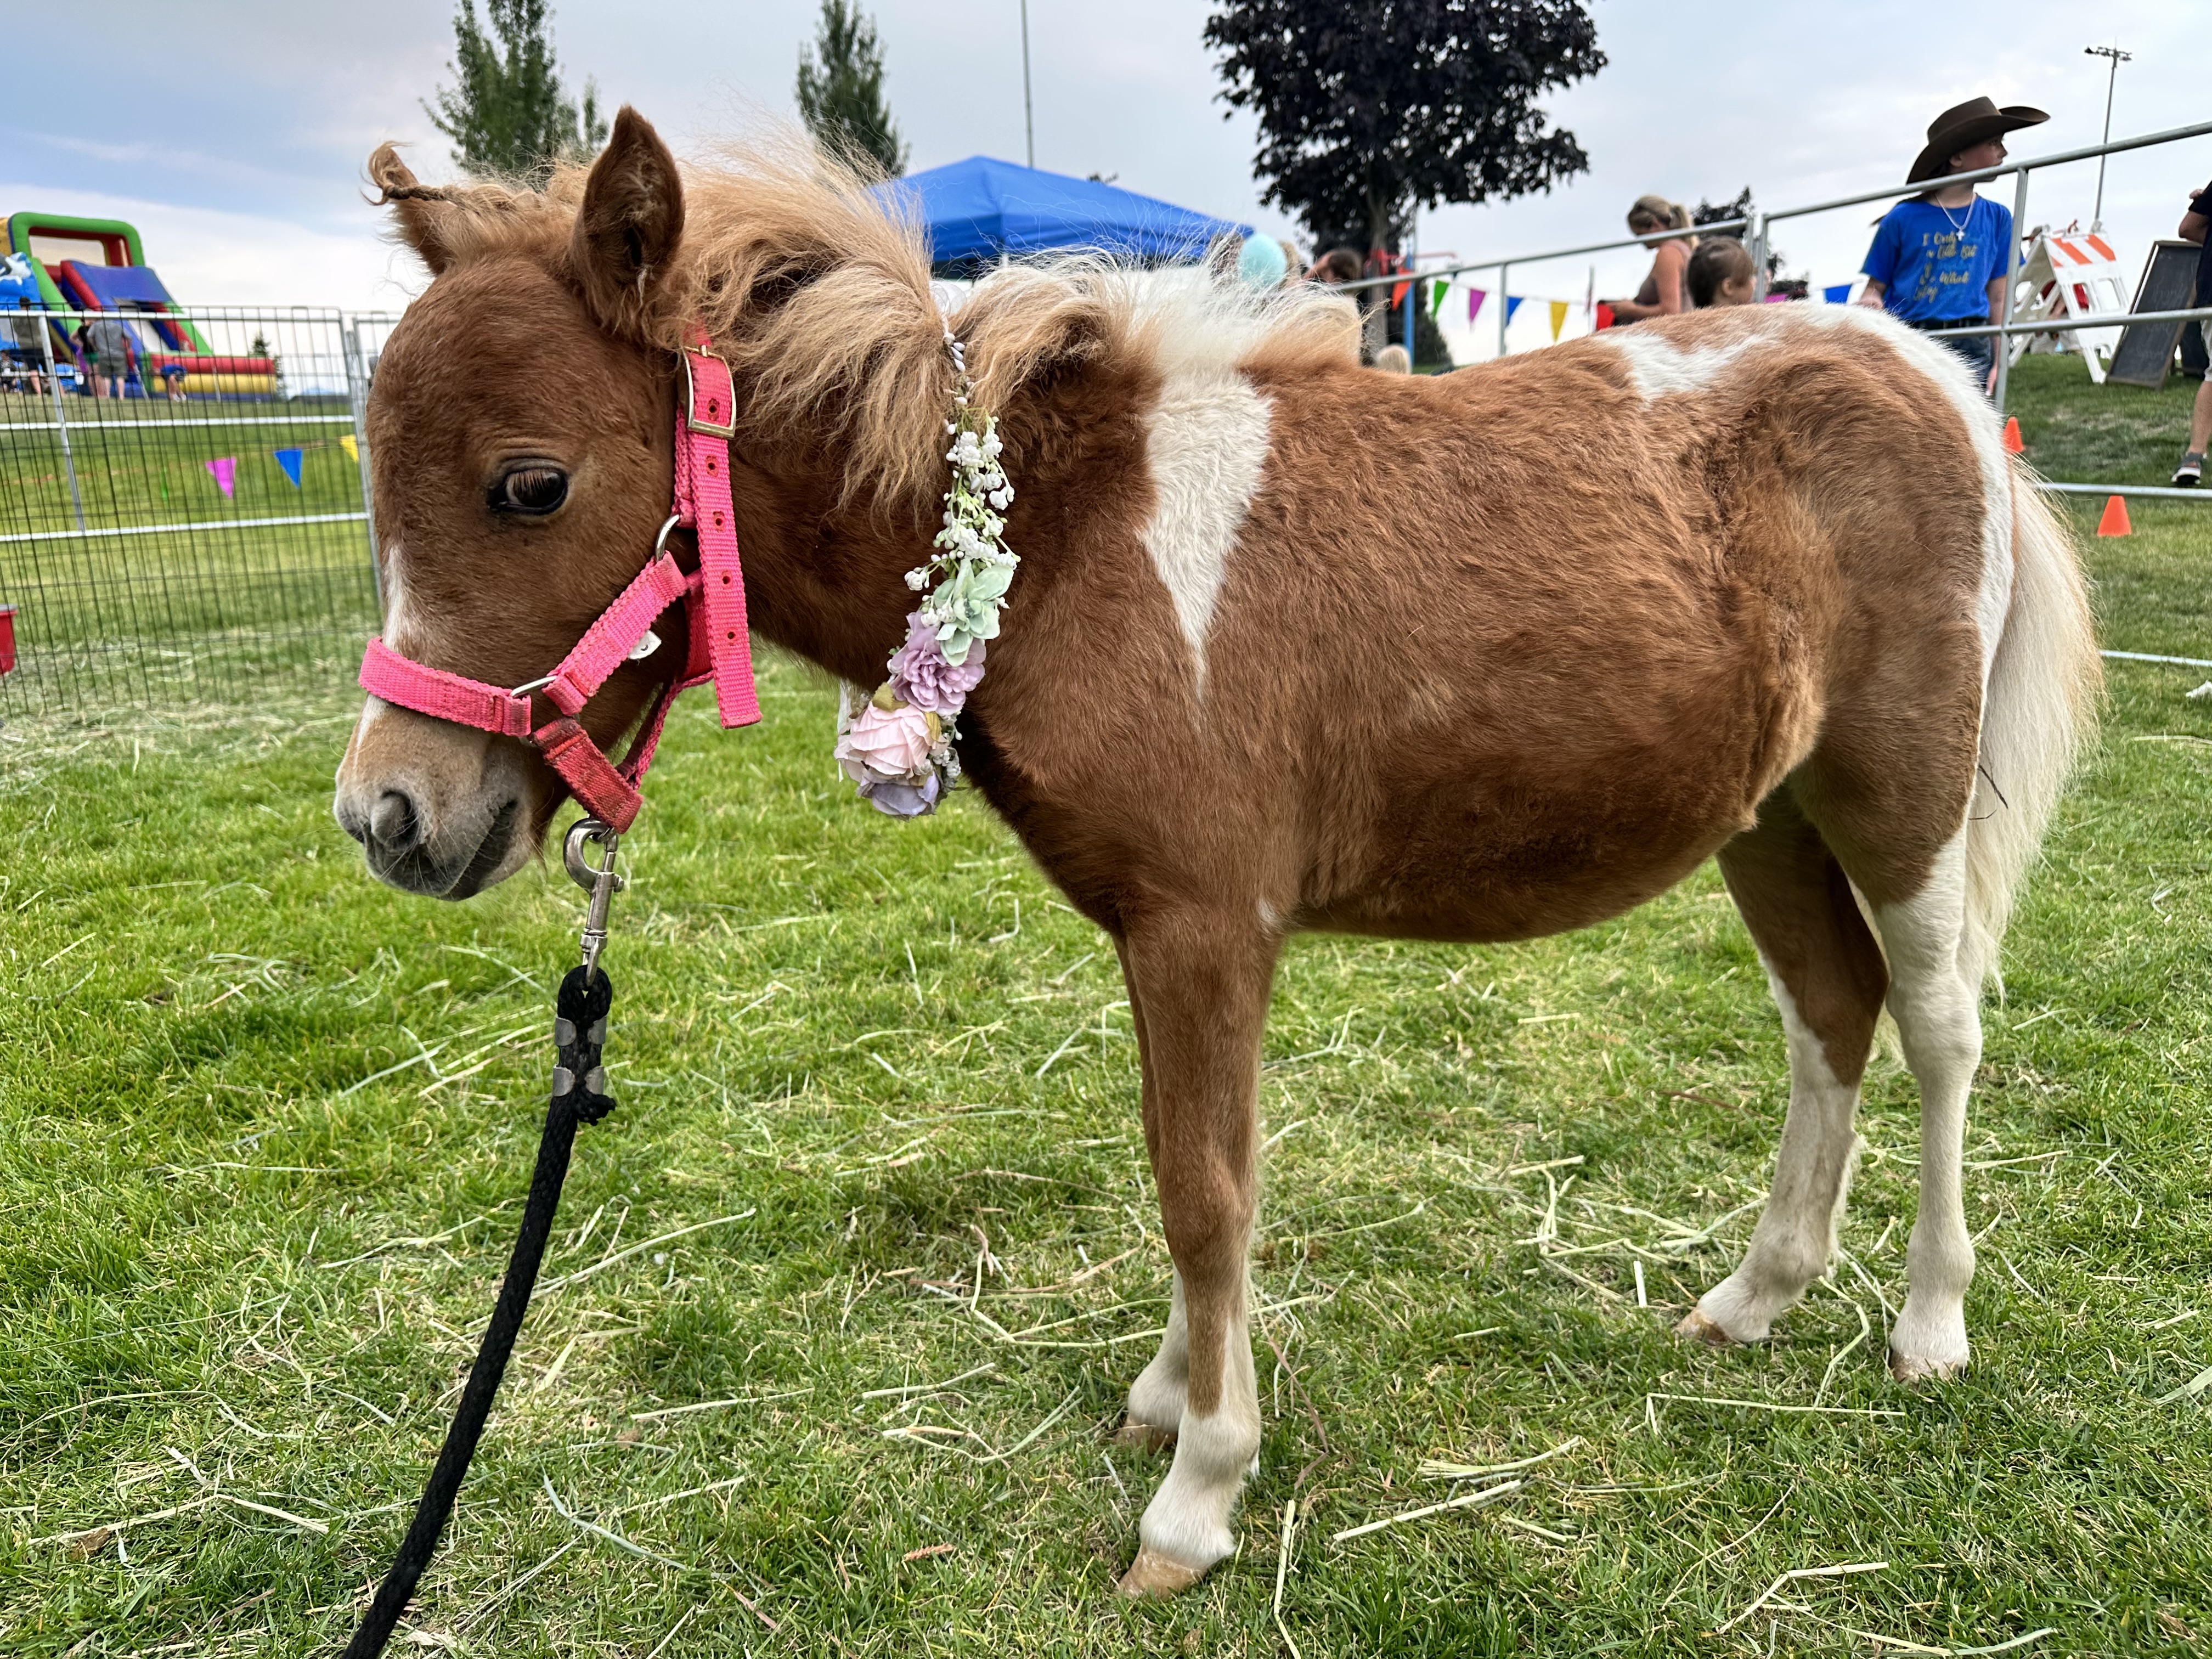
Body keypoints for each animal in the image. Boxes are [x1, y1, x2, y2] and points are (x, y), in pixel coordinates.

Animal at [333, 109, 2100, 1597]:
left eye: (531, 484)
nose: (390, 818)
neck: (1059, 538)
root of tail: (1935, 381)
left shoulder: (1206, 924)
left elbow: (1206, 1192)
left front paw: (1198, 1493)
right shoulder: (1153, 931)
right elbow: (1183, 1173)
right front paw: (1167, 1397)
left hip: (1902, 795)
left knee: (1938, 1024)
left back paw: (1929, 1324)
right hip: (1771, 818)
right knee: (1828, 1019)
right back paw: (1759, 1295)